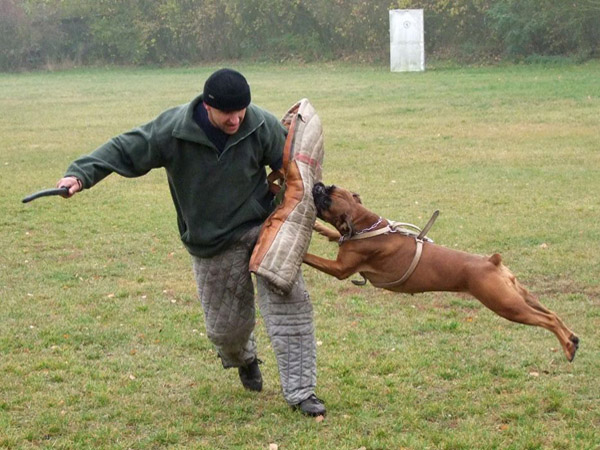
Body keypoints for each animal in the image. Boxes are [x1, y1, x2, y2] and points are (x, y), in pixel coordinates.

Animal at [308, 181, 580, 360]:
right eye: (330, 186)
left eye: (327, 199)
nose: (317, 185)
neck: (365, 224)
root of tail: (492, 262)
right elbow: (332, 234)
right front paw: (320, 229)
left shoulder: (340, 269)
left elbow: (312, 258)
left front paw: (303, 252)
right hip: (519, 295)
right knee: (552, 314)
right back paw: (572, 340)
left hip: (506, 305)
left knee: (546, 320)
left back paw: (567, 348)